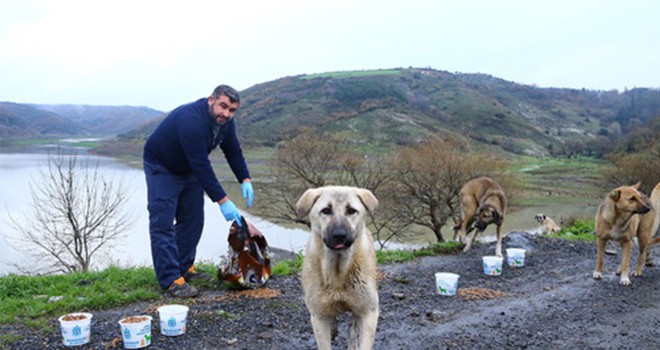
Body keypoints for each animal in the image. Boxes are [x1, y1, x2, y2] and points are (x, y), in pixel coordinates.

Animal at [296, 186, 378, 350]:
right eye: (326, 210)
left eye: (351, 210)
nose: (339, 235)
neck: (338, 272)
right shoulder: (319, 317)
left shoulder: (369, 312)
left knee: (352, 326)